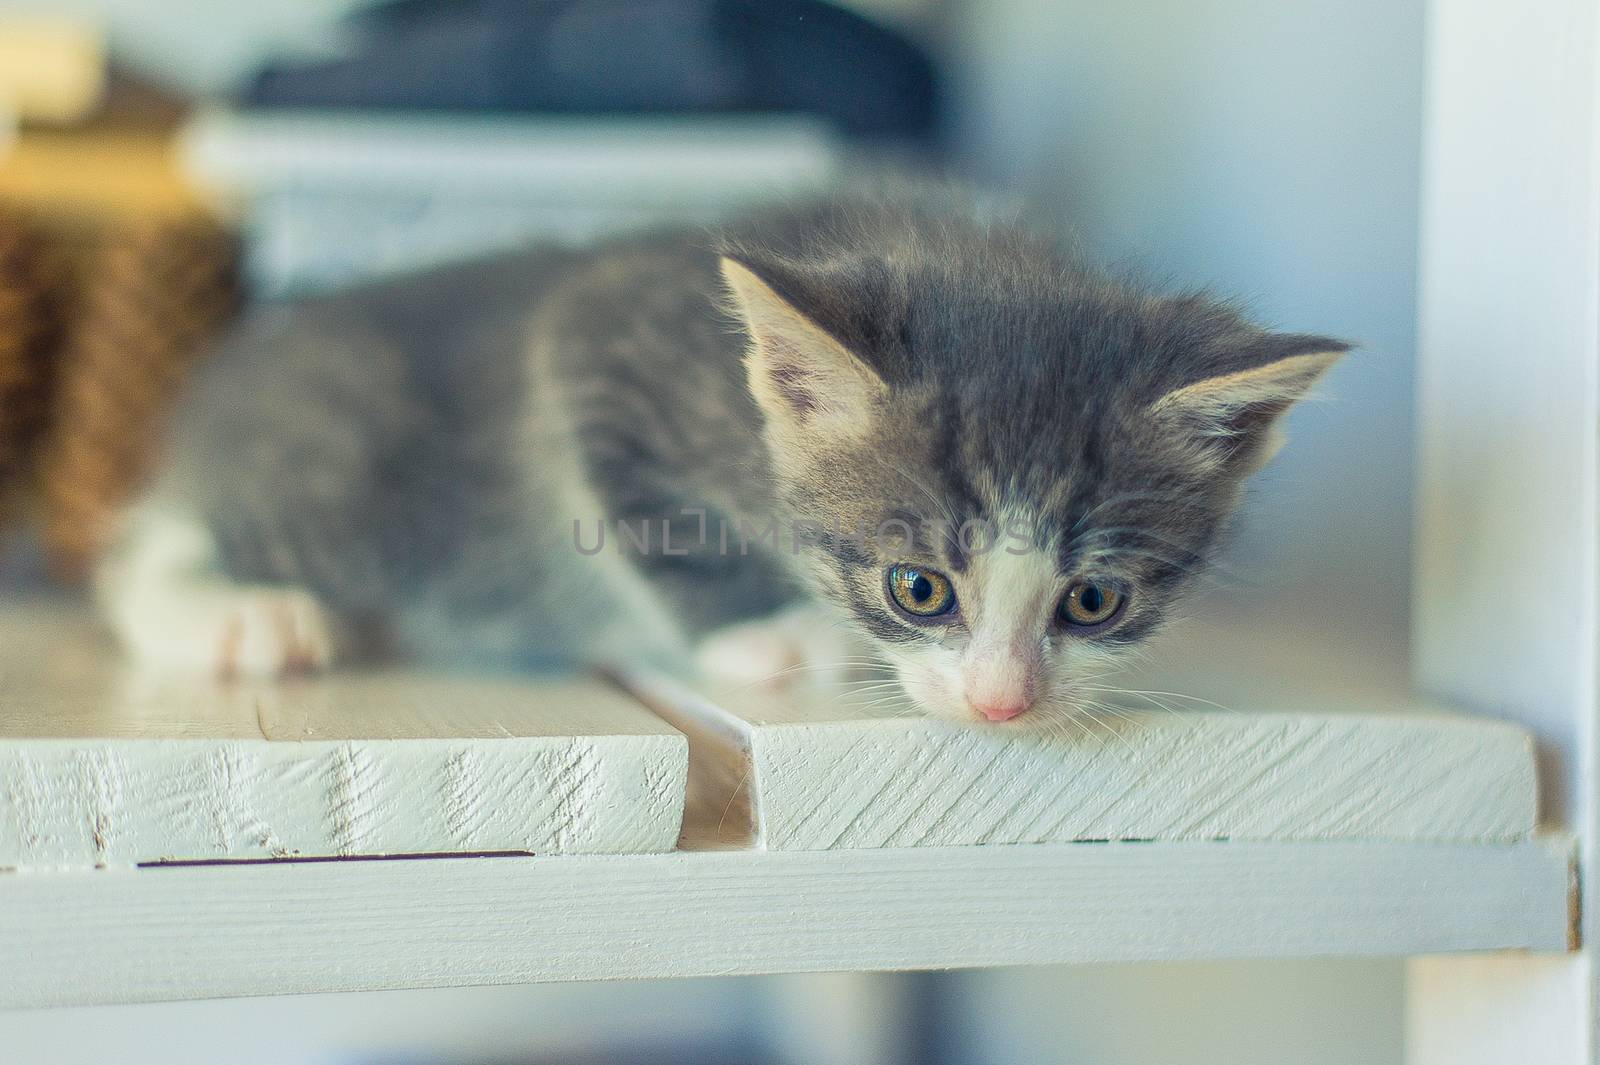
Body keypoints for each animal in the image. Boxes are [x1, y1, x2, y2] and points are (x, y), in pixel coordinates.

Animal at [100, 192, 1344, 722]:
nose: (1002, 706)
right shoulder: (596, 339)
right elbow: (650, 524)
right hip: (347, 470)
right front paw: (768, 635)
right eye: (917, 589)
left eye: (1093, 601)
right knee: (145, 541)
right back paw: (234, 613)